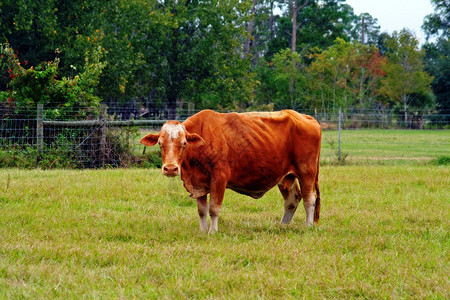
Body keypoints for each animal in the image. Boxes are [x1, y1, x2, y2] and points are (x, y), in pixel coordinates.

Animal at [141, 109, 320, 233]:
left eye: (184, 143)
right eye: (160, 143)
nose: (170, 168)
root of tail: (307, 117)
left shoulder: (219, 178)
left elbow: (213, 208)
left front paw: (212, 231)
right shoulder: (198, 183)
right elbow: (202, 211)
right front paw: (203, 231)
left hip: (306, 172)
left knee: (309, 199)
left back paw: (308, 225)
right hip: (286, 176)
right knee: (292, 200)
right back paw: (282, 226)